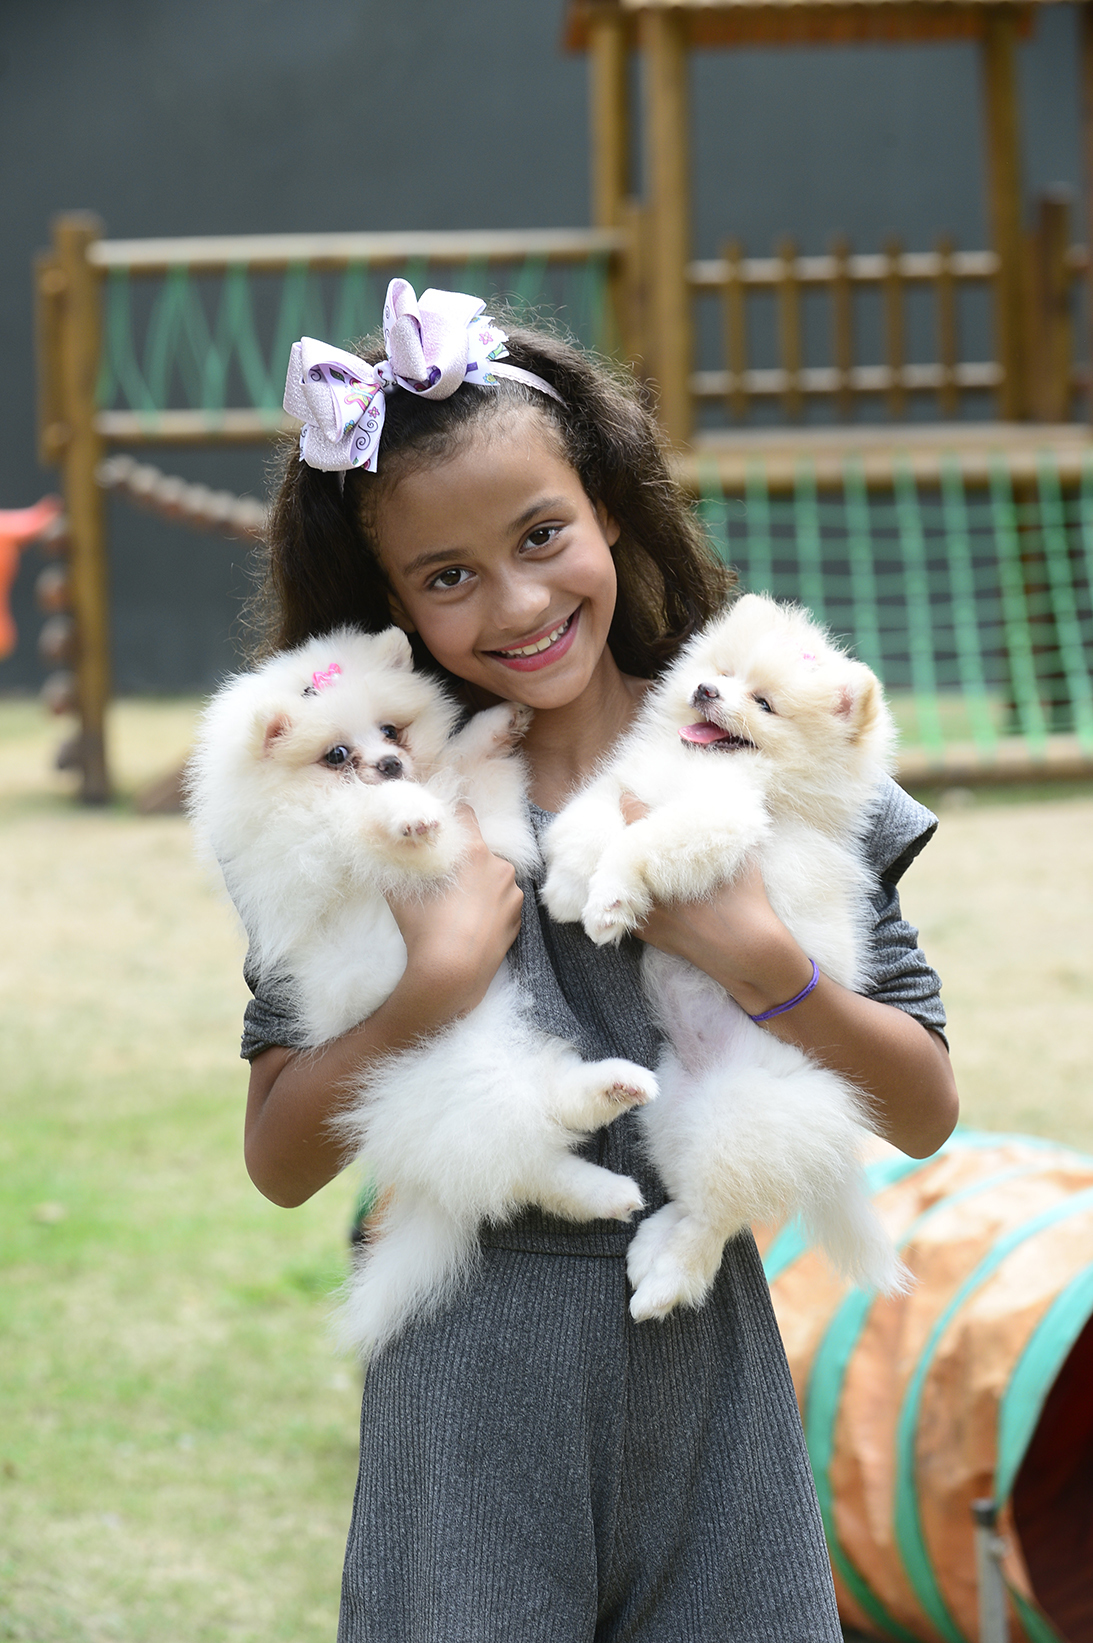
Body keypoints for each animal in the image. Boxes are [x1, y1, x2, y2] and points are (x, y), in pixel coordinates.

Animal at [187, 625, 657, 1357]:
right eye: (337, 754)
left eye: (391, 731)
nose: (387, 765)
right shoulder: (314, 853)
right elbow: (359, 823)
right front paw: (406, 812)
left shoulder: (479, 820)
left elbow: (460, 770)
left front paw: (494, 725)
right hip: (466, 1071)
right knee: (523, 1153)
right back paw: (610, 1130)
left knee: (532, 1150)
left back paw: (613, 1142)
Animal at [541, 593, 909, 1320]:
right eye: (719, 673)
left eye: (763, 703)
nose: (706, 691)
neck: (708, 767)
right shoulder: (626, 782)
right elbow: (587, 823)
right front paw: (570, 889)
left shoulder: (717, 818)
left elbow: (637, 842)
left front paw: (608, 902)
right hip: (668, 1111)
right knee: (698, 1202)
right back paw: (652, 1250)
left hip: (739, 1119)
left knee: (716, 1219)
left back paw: (661, 1286)